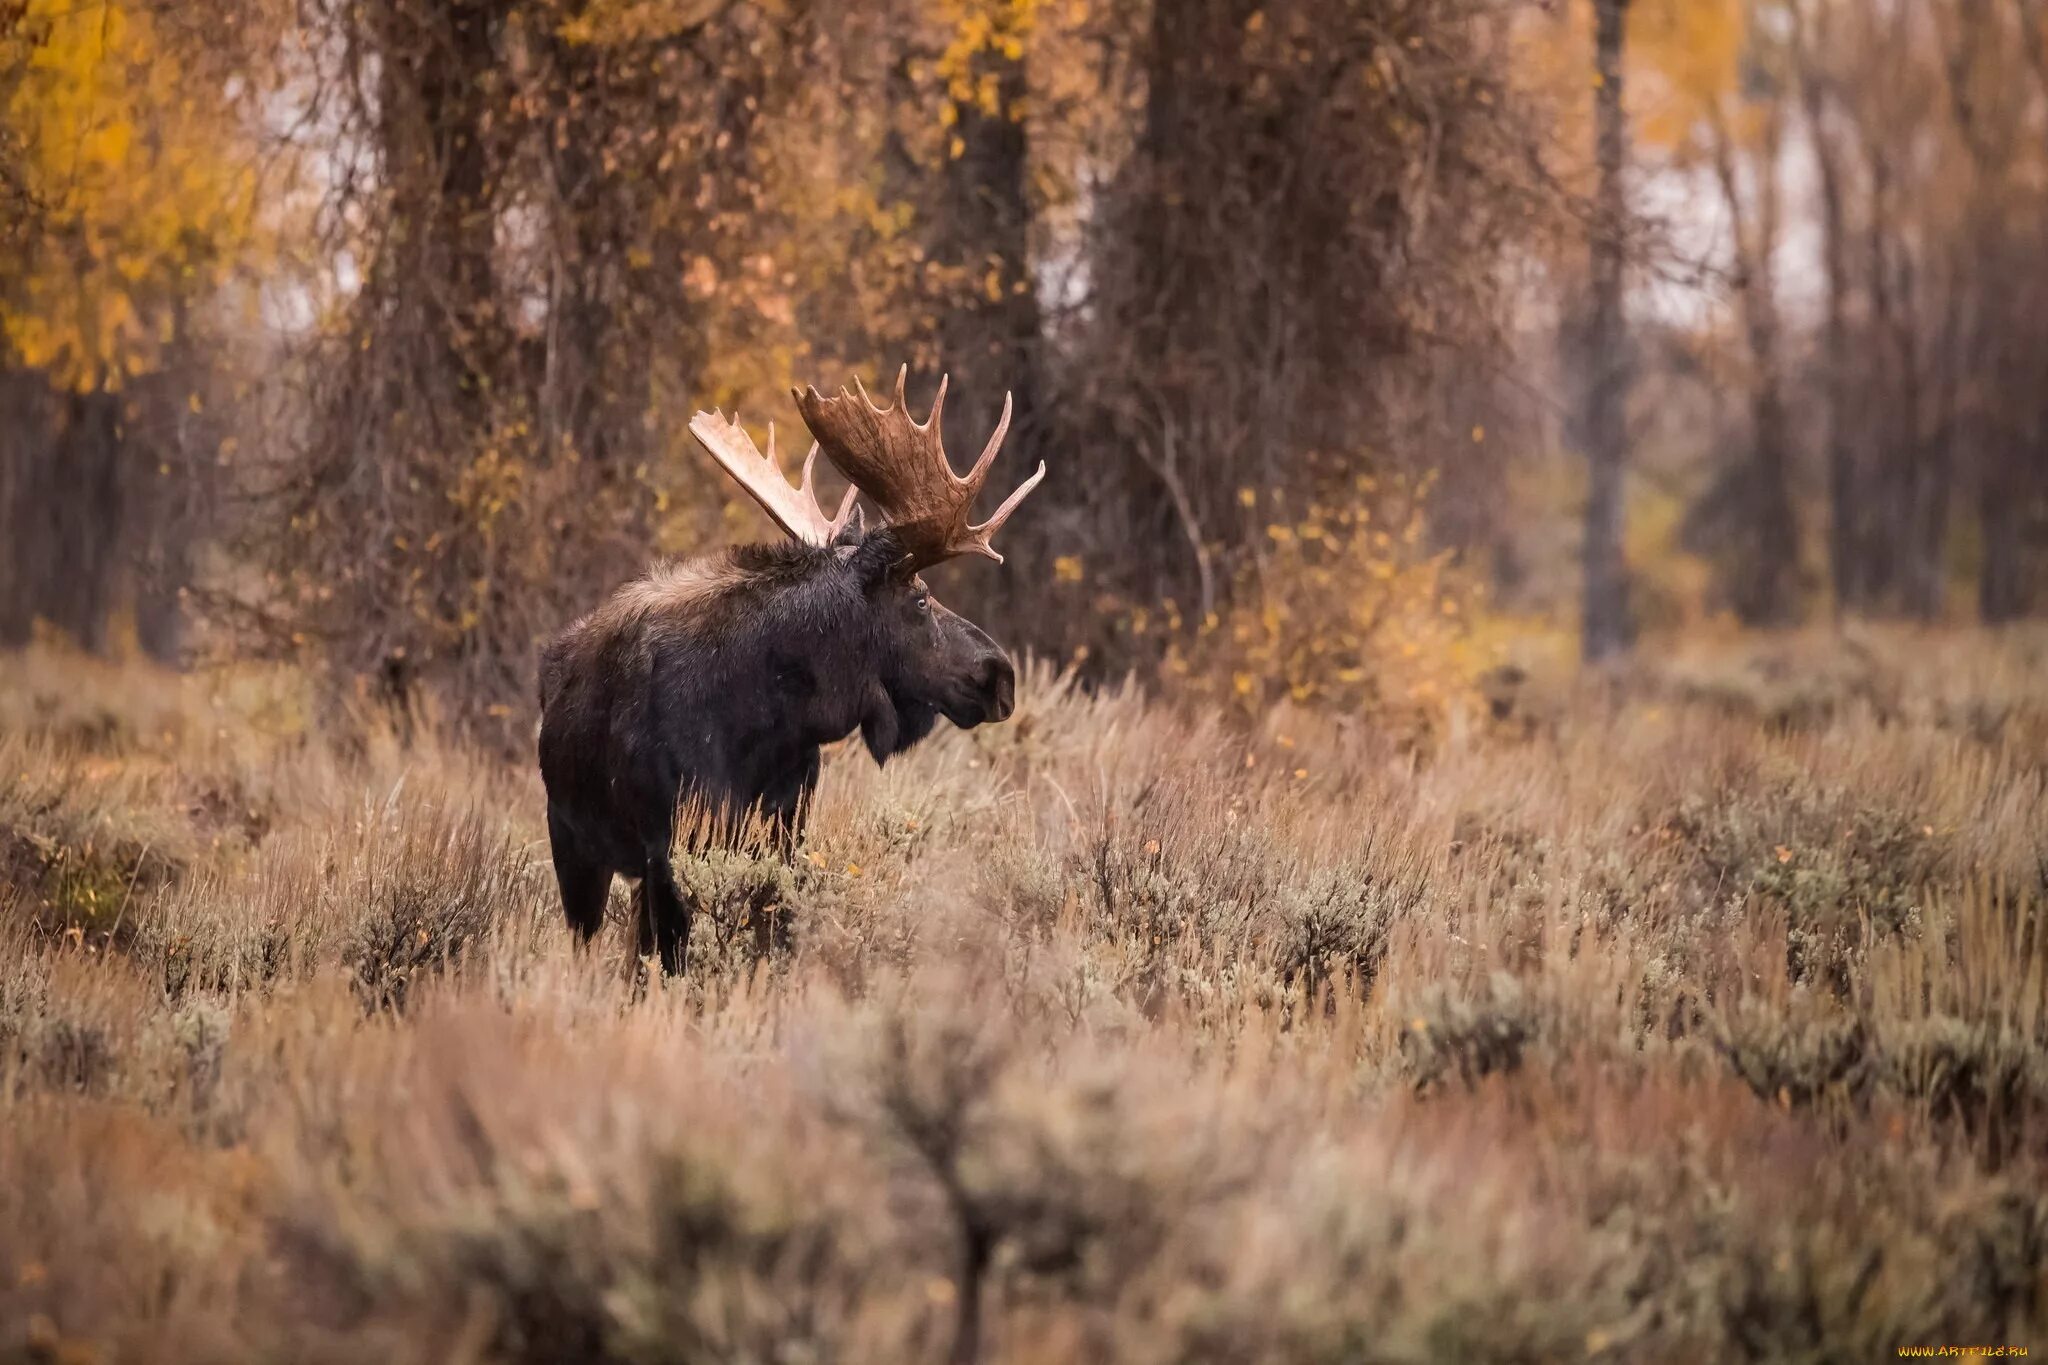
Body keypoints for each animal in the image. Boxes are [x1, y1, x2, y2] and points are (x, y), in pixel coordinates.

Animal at [532, 368, 1040, 978]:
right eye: (919, 598)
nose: (1000, 673)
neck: (768, 720)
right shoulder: (667, 846)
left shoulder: (784, 832)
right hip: (574, 847)